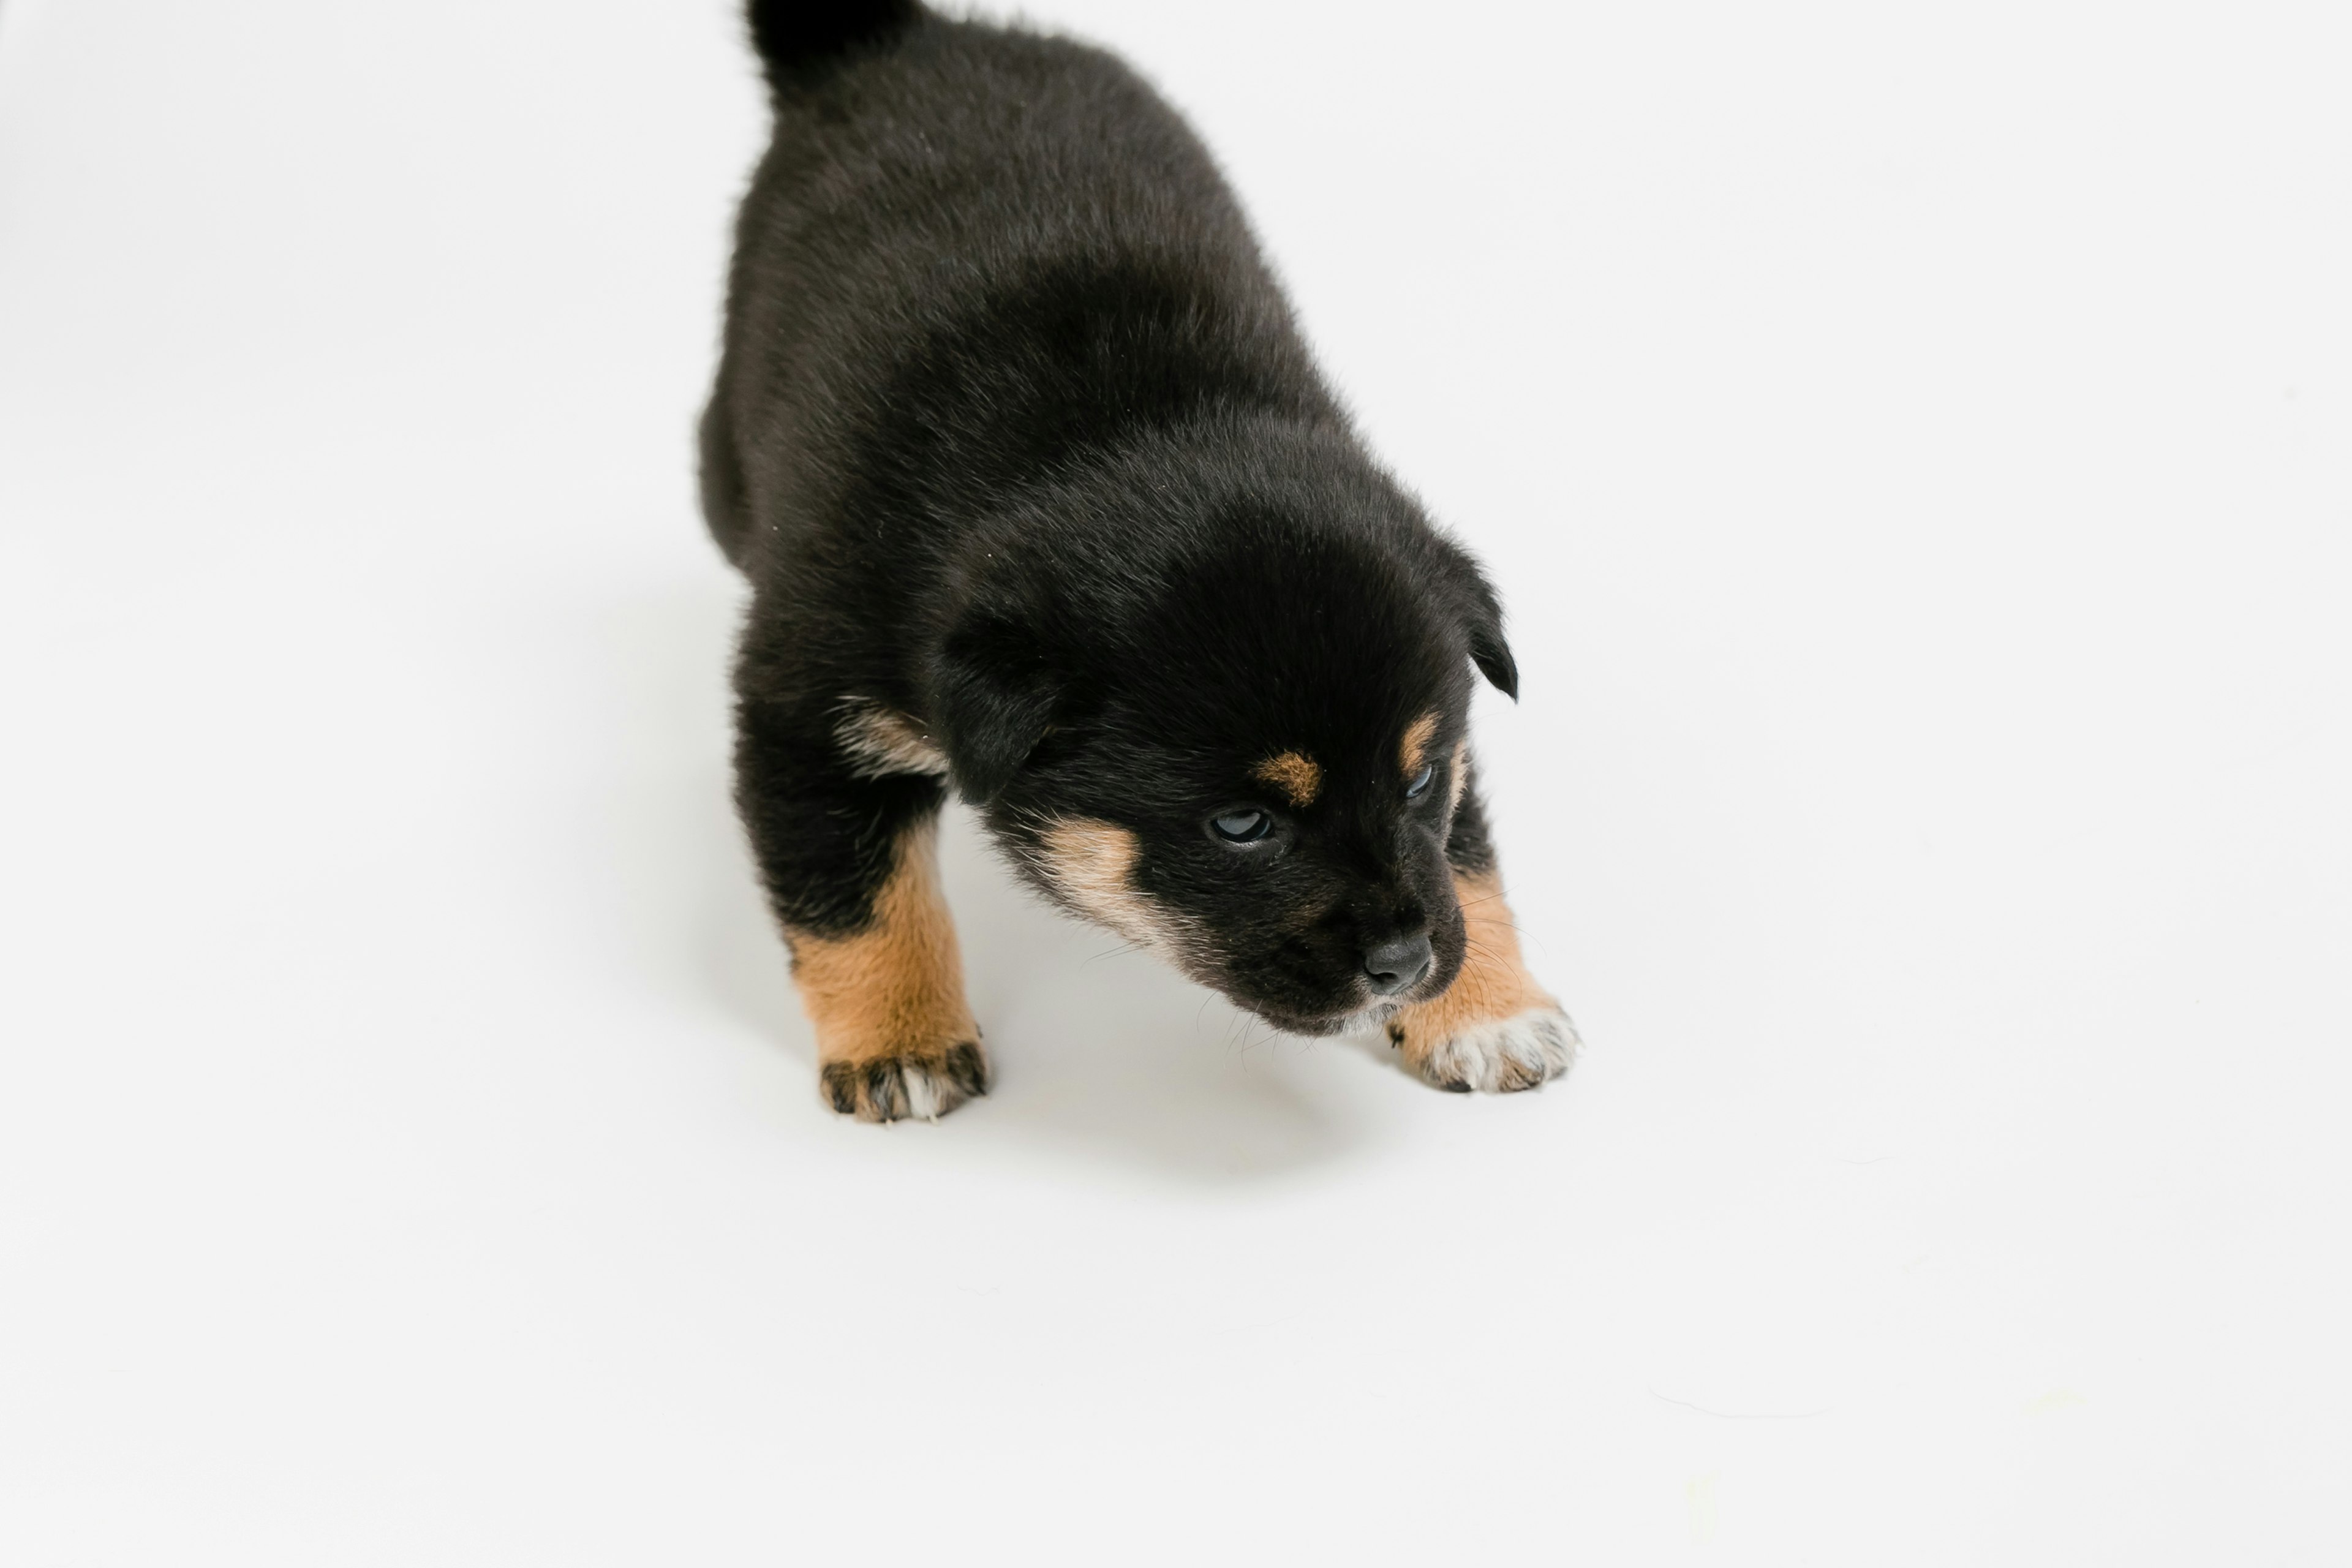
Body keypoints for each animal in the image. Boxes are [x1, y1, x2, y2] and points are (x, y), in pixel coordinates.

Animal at [696, 3, 1580, 1128]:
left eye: (1420, 777)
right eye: (1242, 825)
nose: (1406, 960)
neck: (1130, 427)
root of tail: (904, 37)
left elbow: (1464, 854)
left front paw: (1488, 1010)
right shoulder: (805, 709)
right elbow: (856, 895)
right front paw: (902, 1041)